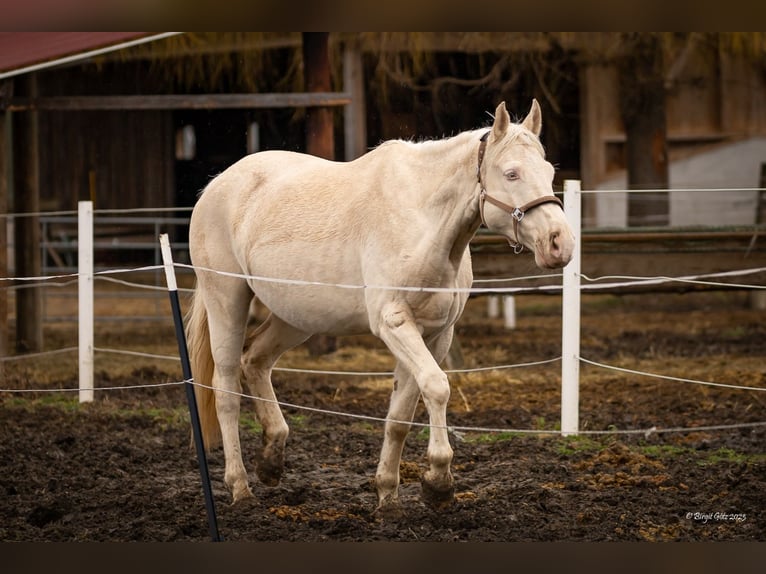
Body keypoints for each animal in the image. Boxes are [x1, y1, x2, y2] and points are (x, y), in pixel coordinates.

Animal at [185, 100, 575, 516]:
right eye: (511, 173)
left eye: (549, 172)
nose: (560, 243)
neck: (424, 221)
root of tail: (215, 186)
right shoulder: (395, 324)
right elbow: (437, 386)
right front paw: (439, 482)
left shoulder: (434, 333)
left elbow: (401, 416)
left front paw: (388, 495)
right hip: (227, 301)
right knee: (226, 388)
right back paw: (240, 487)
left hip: (296, 316)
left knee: (255, 360)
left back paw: (272, 459)